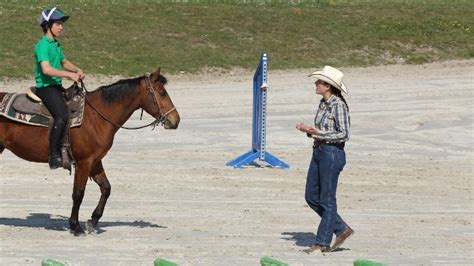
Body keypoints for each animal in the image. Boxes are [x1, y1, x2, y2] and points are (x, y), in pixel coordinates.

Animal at [0, 68, 180, 235]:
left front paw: (92, 221)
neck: (96, 117)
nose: (176, 120)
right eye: (162, 93)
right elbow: (78, 194)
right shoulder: (84, 162)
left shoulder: (95, 161)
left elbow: (106, 188)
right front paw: (75, 226)